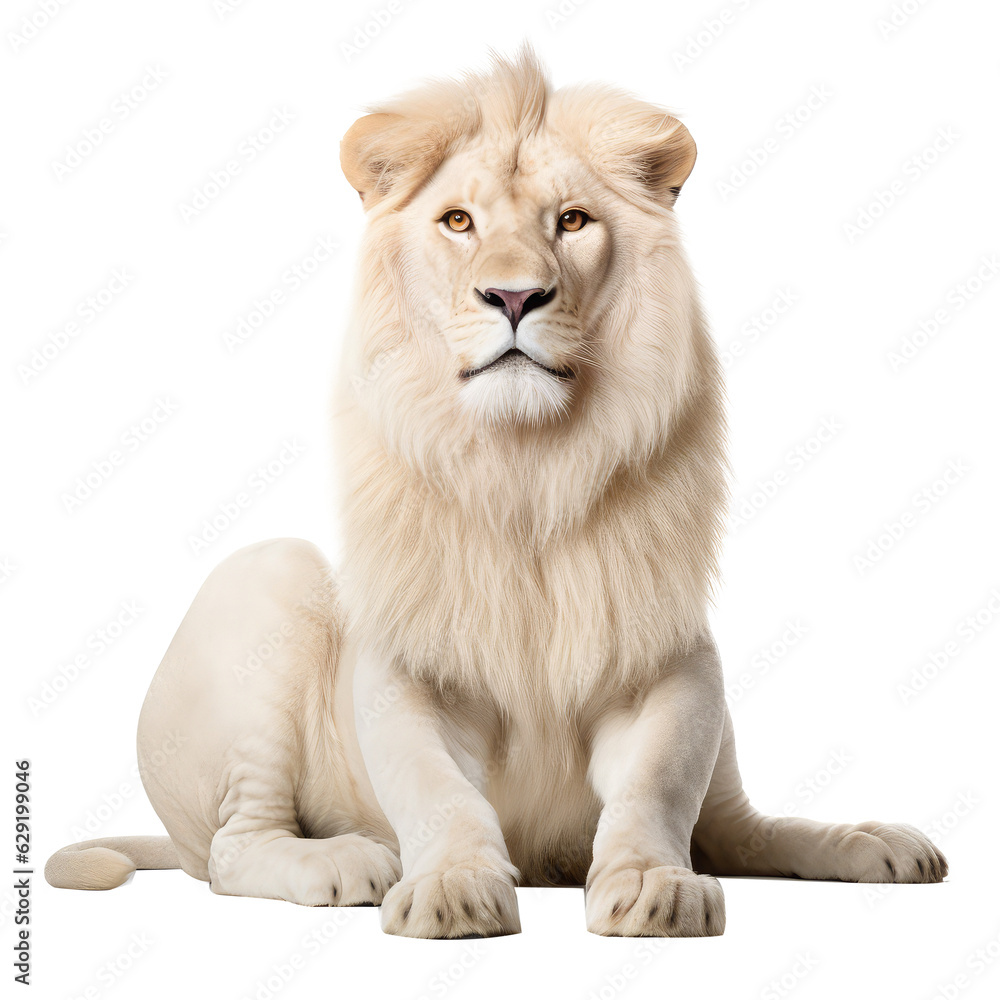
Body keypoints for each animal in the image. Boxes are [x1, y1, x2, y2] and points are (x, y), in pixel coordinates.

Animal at [46, 48, 946, 938]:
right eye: (458, 222)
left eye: (572, 222)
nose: (514, 296)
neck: (527, 469)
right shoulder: (406, 668)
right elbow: (435, 788)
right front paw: (451, 889)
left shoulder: (674, 664)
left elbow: (656, 786)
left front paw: (653, 886)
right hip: (269, 576)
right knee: (232, 851)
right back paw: (349, 861)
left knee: (742, 828)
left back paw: (877, 843)